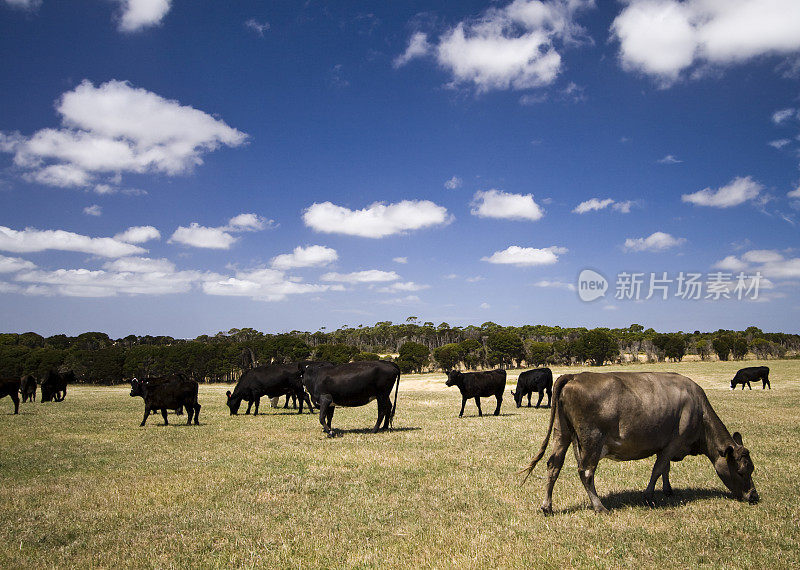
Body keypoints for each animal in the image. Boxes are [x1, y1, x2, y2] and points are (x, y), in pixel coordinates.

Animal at [520, 370, 760, 512]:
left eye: (752, 469)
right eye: (741, 471)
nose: (754, 496)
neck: (698, 411)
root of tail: (574, 376)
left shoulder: (664, 446)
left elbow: (665, 469)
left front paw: (668, 490)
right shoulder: (673, 442)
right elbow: (658, 468)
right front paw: (648, 496)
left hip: (562, 433)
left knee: (554, 465)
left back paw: (547, 507)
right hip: (592, 440)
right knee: (585, 472)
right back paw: (599, 507)